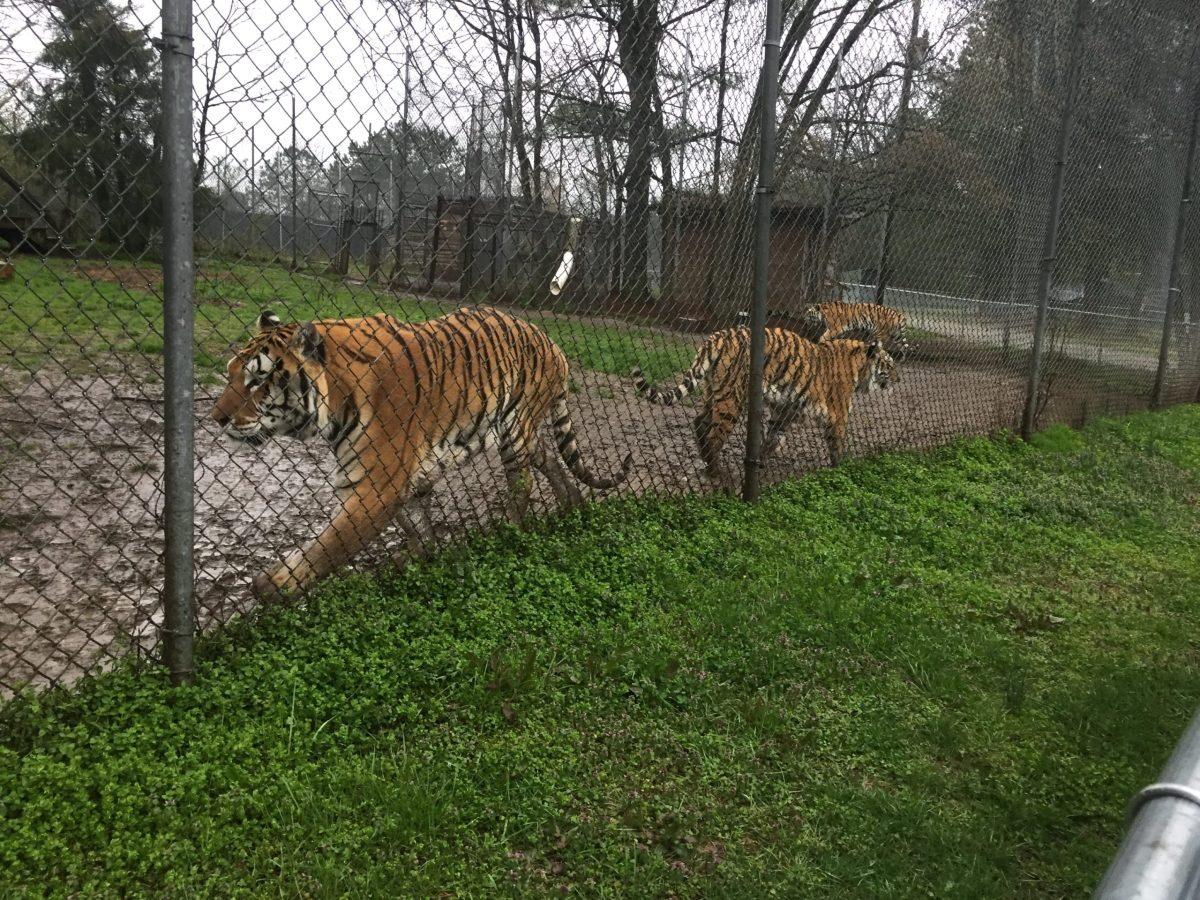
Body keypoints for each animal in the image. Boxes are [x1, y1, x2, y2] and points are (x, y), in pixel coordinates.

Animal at [211, 307, 633, 602]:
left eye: (258, 381)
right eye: (229, 372)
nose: (217, 418)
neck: (335, 398)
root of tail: (553, 342)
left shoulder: (375, 485)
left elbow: (329, 545)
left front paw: (272, 587)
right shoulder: (400, 480)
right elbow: (416, 528)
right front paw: (420, 560)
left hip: (516, 431)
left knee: (522, 487)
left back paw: (510, 532)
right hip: (524, 432)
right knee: (548, 457)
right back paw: (572, 504)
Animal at [633, 328, 897, 487]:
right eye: (890, 364)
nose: (899, 378)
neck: (859, 367)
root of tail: (716, 338)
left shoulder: (786, 410)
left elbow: (773, 438)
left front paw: (760, 460)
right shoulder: (837, 415)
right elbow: (836, 444)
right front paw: (838, 469)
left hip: (713, 391)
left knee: (699, 423)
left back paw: (708, 465)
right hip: (732, 399)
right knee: (713, 436)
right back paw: (716, 473)